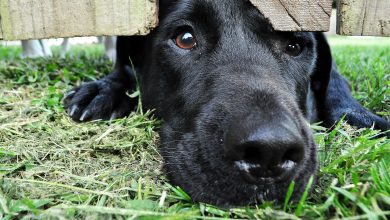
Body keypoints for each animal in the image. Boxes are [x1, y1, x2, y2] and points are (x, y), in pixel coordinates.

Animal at [64, 0, 390, 206]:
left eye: (294, 45)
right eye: (185, 38)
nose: (269, 152)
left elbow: (338, 84)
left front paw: (360, 117)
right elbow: (122, 69)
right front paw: (105, 89)